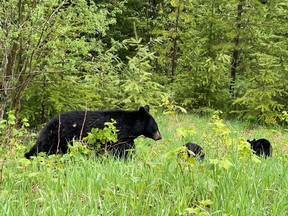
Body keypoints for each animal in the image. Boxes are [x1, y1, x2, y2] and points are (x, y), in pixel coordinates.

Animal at [25, 104, 162, 159]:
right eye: (155, 127)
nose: (159, 137)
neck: (129, 125)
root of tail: (47, 125)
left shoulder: (126, 139)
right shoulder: (117, 137)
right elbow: (121, 151)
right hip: (57, 137)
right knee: (43, 148)